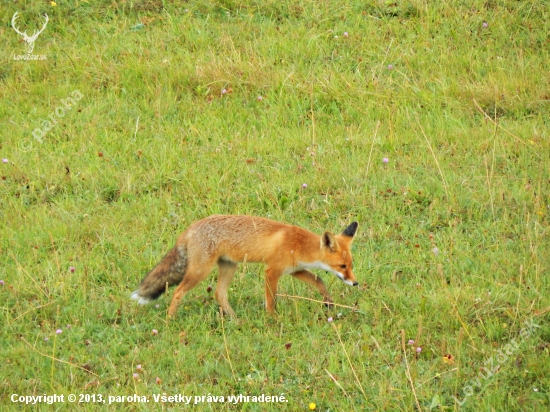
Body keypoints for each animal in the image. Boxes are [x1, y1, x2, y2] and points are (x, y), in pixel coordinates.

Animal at [132, 214, 360, 318]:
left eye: (350, 265)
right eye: (342, 266)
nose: (355, 283)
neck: (298, 244)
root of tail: (189, 229)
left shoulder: (294, 270)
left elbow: (319, 280)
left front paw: (329, 303)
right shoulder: (271, 271)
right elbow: (271, 300)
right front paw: (272, 319)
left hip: (228, 267)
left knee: (219, 294)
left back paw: (235, 319)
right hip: (200, 271)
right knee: (177, 292)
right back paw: (170, 318)